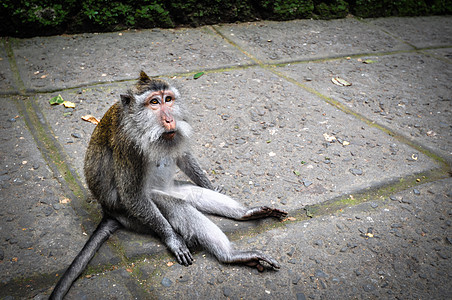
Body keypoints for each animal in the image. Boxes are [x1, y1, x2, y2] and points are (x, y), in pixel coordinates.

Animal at [49, 71, 288, 298]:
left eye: (168, 99)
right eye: (154, 102)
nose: (170, 120)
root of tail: (109, 211)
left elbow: (183, 156)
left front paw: (211, 185)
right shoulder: (128, 147)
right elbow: (132, 194)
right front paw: (173, 240)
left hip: (173, 188)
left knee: (194, 195)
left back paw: (245, 214)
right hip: (132, 215)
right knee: (175, 205)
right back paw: (231, 256)